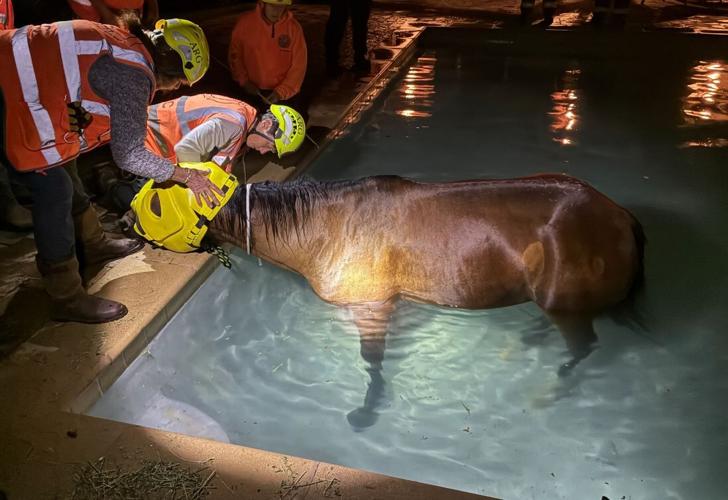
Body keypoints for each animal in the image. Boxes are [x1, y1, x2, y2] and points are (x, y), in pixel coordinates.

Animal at [207, 173, 645, 428]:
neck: (330, 227)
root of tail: (620, 216)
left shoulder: (372, 308)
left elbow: (372, 361)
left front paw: (367, 409)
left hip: (566, 307)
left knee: (583, 347)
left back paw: (551, 390)